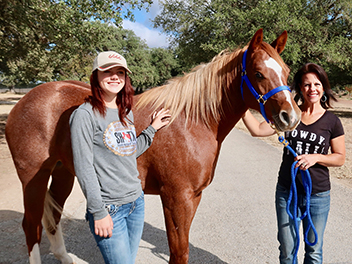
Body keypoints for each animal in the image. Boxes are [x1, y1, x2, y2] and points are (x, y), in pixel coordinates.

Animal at [5, 27, 300, 262]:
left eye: (287, 72)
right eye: (259, 74)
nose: (292, 117)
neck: (191, 122)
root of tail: (26, 99)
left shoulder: (193, 197)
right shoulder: (176, 198)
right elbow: (179, 252)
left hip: (63, 173)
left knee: (52, 218)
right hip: (33, 177)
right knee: (31, 226)